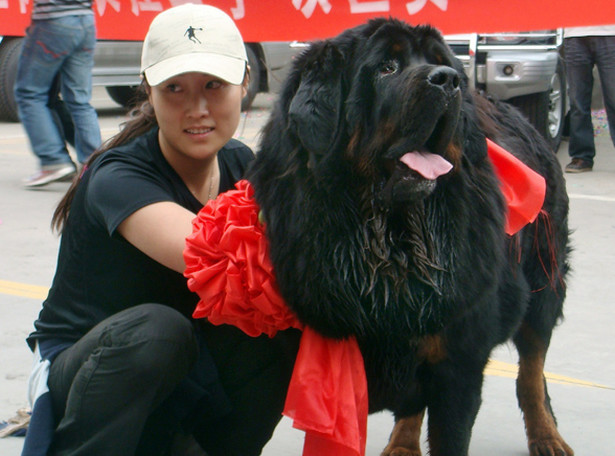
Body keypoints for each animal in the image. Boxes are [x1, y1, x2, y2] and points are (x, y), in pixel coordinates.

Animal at [247, 19, 572, 456]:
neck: (389, 243)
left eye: (439, 61)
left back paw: (547, 436)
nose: (449, 79)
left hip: (543, 283)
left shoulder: (458, 367)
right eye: (387, 67)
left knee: (532, 371)